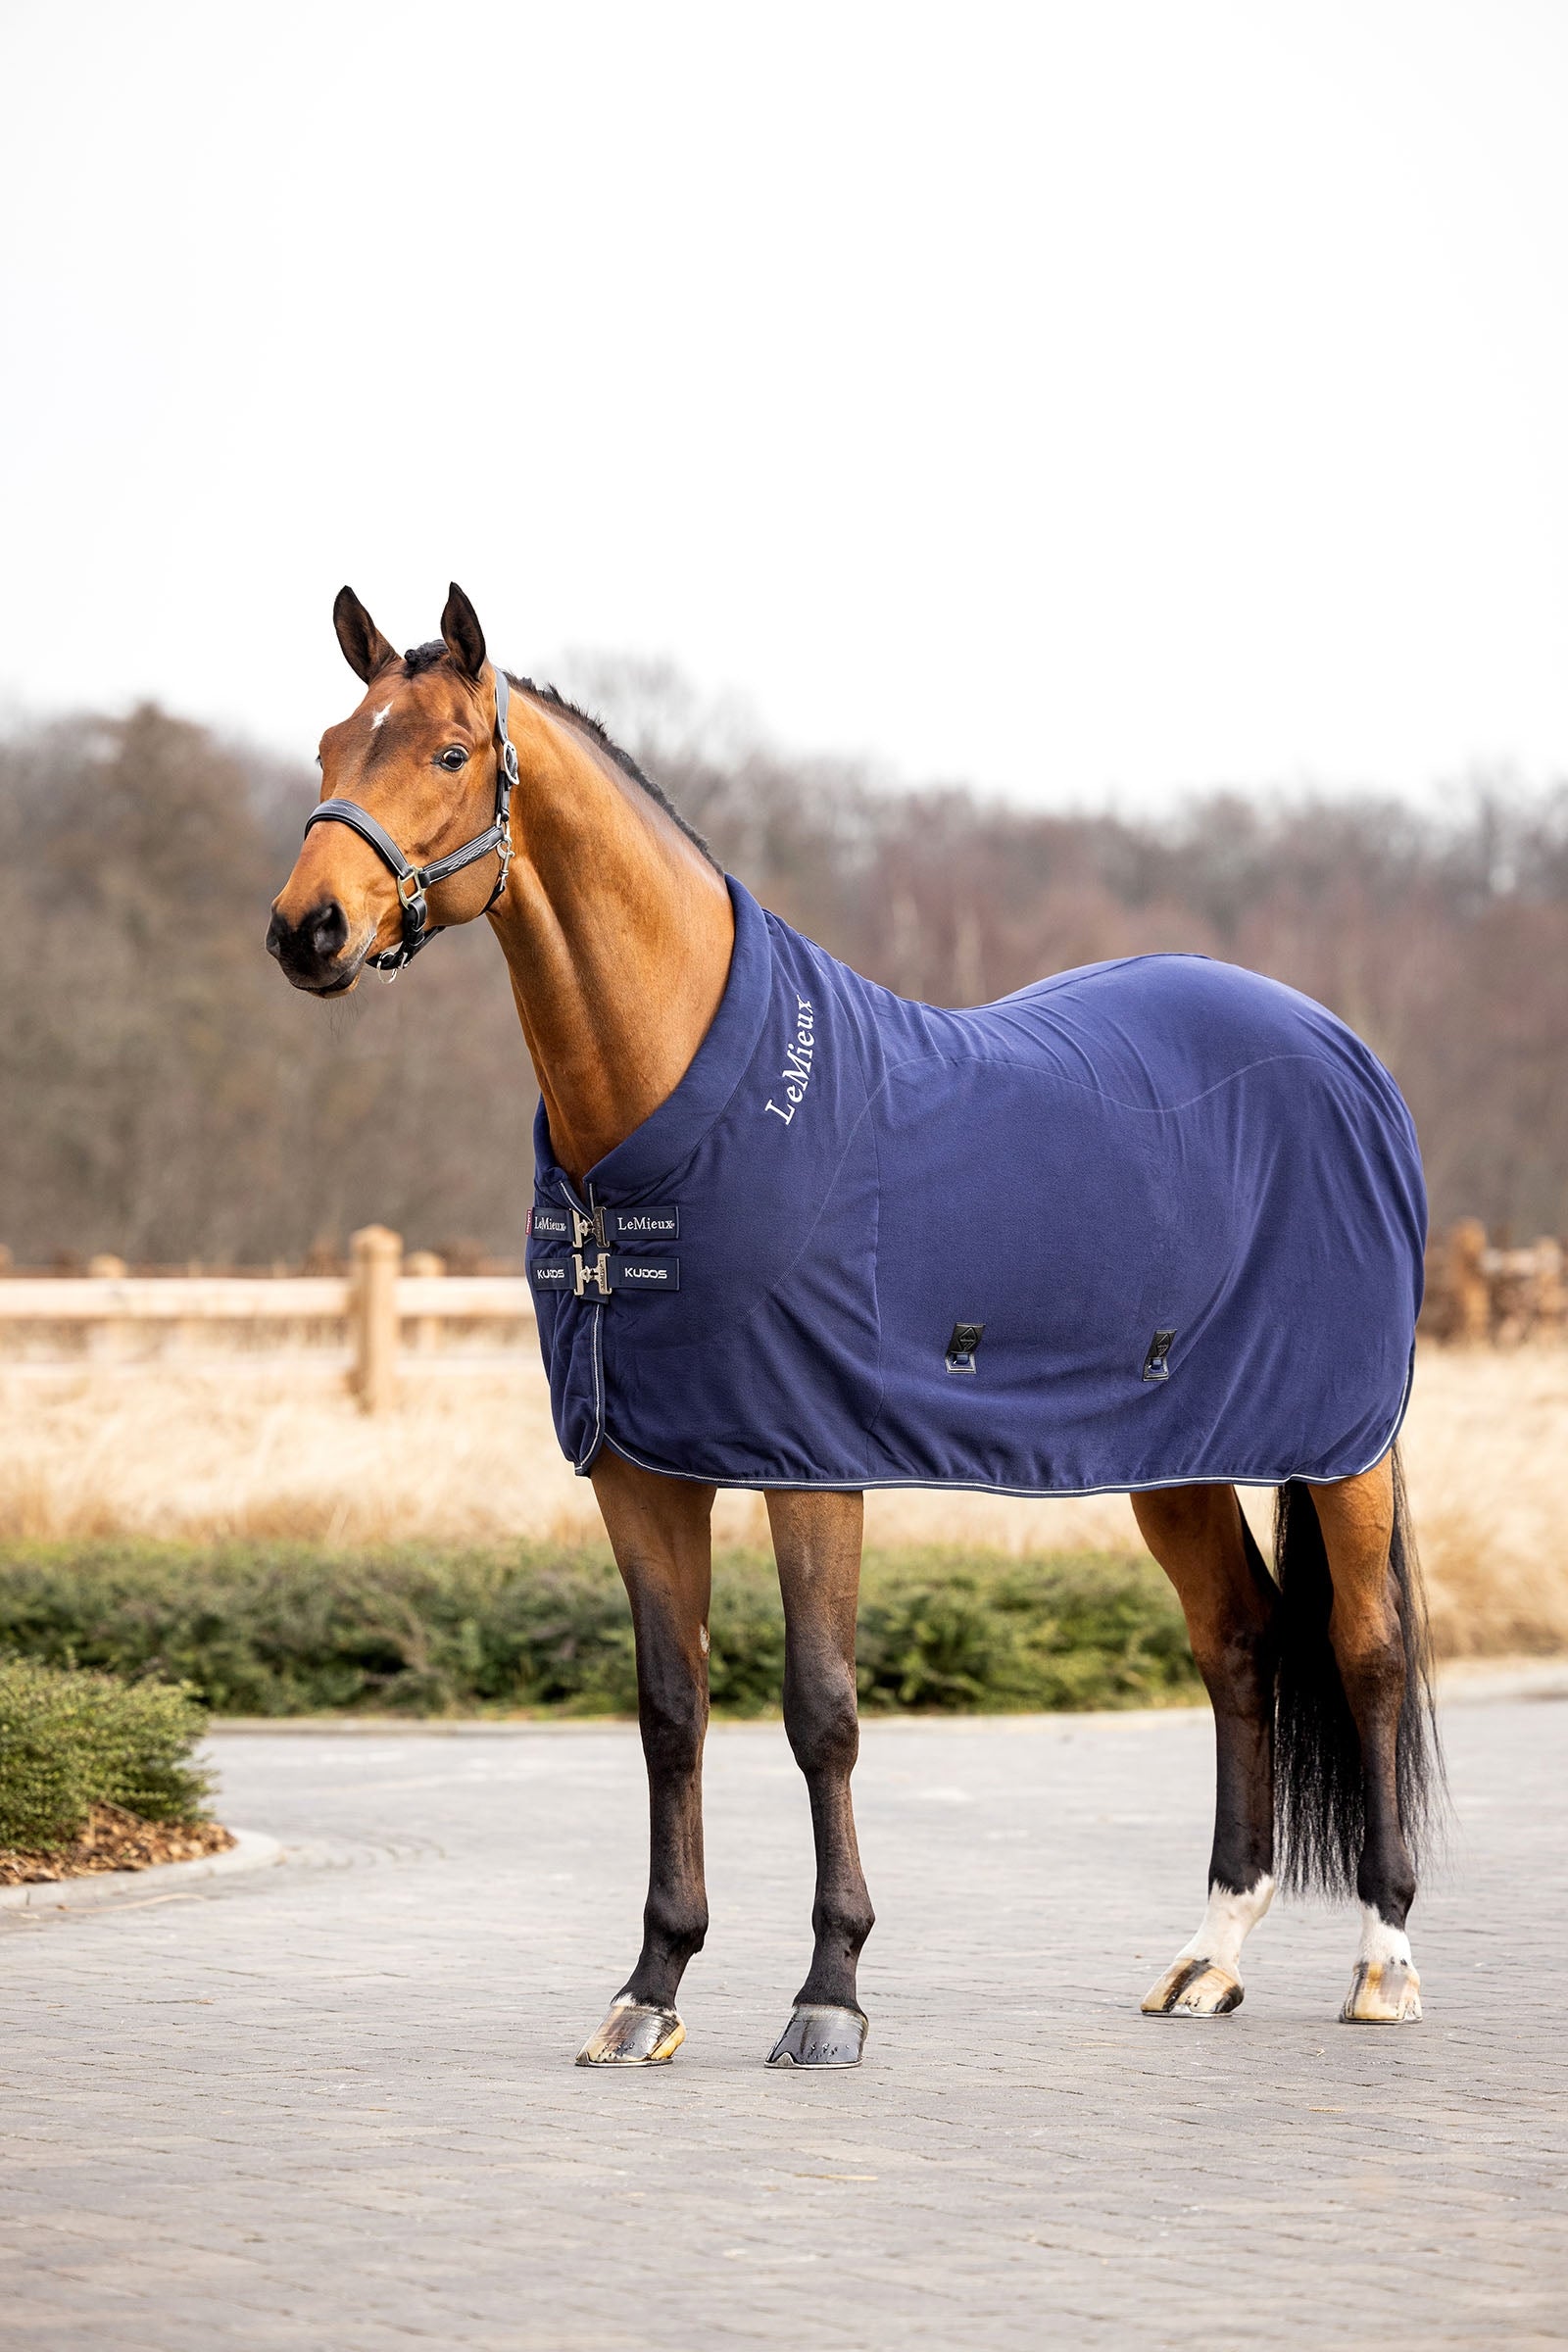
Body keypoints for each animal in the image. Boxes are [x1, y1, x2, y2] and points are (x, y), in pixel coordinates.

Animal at [267, 583, 1442, 2068]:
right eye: (328, 746)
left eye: (447, 753)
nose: (305, 930)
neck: (664, 1129)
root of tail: (1342, 1053)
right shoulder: (639, 1471)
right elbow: (670, 1714)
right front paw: (650, 1988)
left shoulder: (811, 1462)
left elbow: (820, 1713)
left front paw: (829, 1991)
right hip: (1172, 1456)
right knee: (1237, 1643)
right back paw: (1206, 1958)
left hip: (1347, 1445)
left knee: (1368, 1651)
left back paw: (1384, 1959)